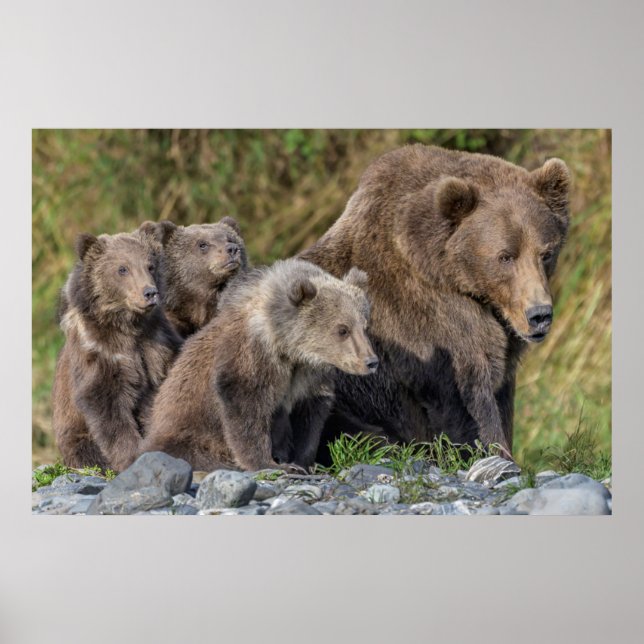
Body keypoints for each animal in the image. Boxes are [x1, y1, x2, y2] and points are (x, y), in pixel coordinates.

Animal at [52, 229, 183, 472]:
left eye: (150, 265)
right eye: (122, 268)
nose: (150, 292)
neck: (128, 325)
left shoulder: (157, 342)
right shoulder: (100, 353)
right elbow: (107, 407)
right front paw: (131, 456)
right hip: (75, 437)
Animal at [140, 258, 378, 472]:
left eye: (364, 325)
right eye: (342, 329)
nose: (371, 361)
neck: (288, 347)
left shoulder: (309, 375)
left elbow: (309, 417)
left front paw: (303, 462)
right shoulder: (252, 355)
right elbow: (246, 406)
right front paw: (269, 463)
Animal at [299, 144, 571, 458]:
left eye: (546, 253)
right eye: (505, 256)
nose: (539, 315)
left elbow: (502, 394)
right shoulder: (429, 323)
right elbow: (469, 400)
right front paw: (495, 452)